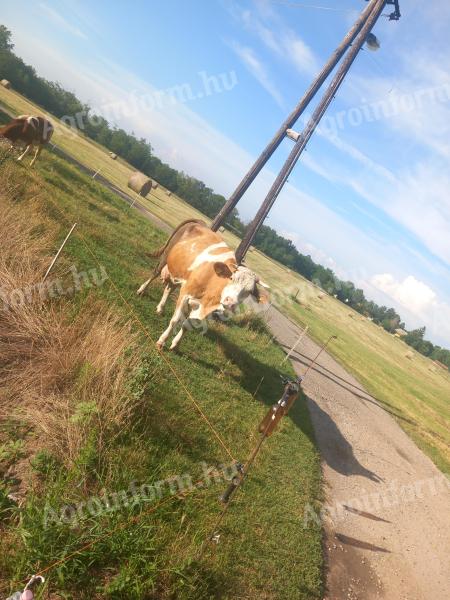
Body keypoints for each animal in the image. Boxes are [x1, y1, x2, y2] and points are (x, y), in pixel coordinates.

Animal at [137, 219, 268, 352]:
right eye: (231, 278)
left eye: (249, 292)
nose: (230, 302)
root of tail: (199, 223)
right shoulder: (186, 293)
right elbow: (175, 320)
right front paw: (161, 341)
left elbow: (187, 325)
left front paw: (175, 344)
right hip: (167, 255)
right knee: (155, 273)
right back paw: (141, 290)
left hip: (181, 273)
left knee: (169, 288)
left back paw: (160, 308)